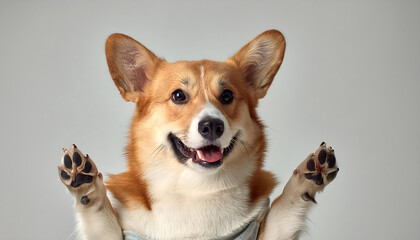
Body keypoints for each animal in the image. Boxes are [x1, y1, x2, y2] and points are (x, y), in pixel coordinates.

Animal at [58, 30, 338, 240]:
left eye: (227, 96)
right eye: (178, 96)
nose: (212, 126)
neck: (195, 188)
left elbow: (285, 209)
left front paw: (309, 174)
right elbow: (99, 214)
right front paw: (84, 181)